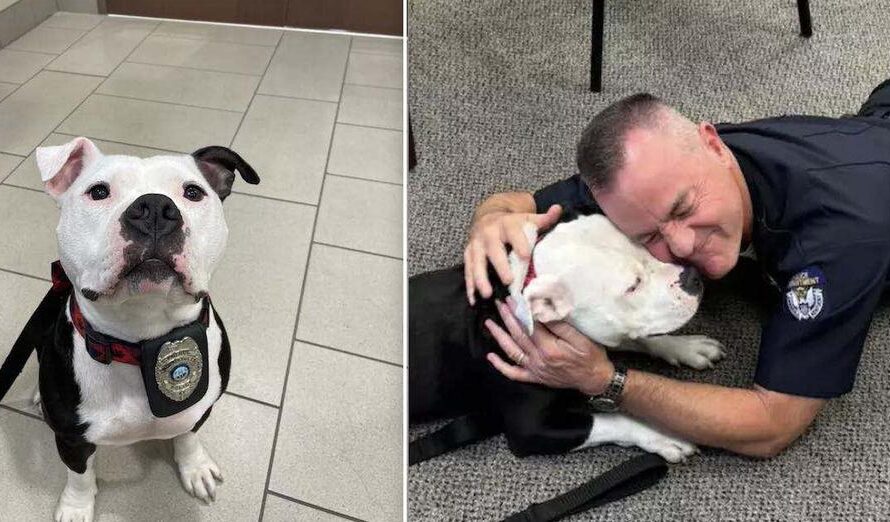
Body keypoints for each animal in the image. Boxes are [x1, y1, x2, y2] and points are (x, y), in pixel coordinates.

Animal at [0, 136, 258, 516]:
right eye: (98, 191)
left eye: (193, 192)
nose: (154, 208)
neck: (141, 340)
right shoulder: (71, 439)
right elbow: (79, 475)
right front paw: (77, 506)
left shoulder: (201, 406)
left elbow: (188, 435)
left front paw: (194, 467)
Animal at [408, 203, 720, 460]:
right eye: (632, 286)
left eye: (644, 248)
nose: (693, 277)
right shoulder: (530, 429)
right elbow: (610, 421)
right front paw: (662, 435)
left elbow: (639, 339)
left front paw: (685, 347)